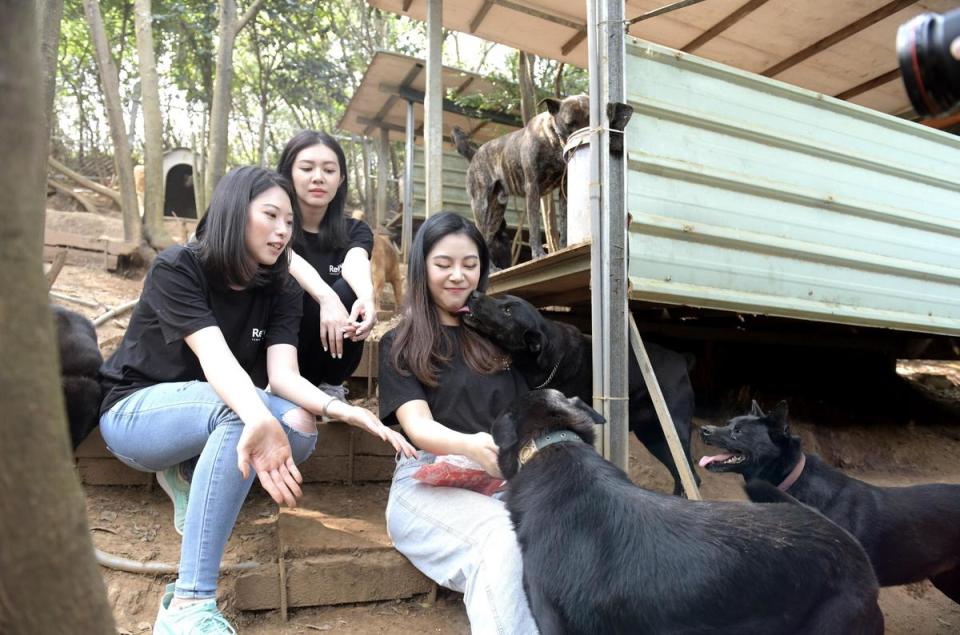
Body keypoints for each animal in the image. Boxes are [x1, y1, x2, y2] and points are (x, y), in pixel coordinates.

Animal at [464, 294, 696, 496]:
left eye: (508, 311)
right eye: (501, 299)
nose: (474, 295)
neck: (549, 360)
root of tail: (682, 359)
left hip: (673, 434)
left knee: (691, 476)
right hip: (653, 437)